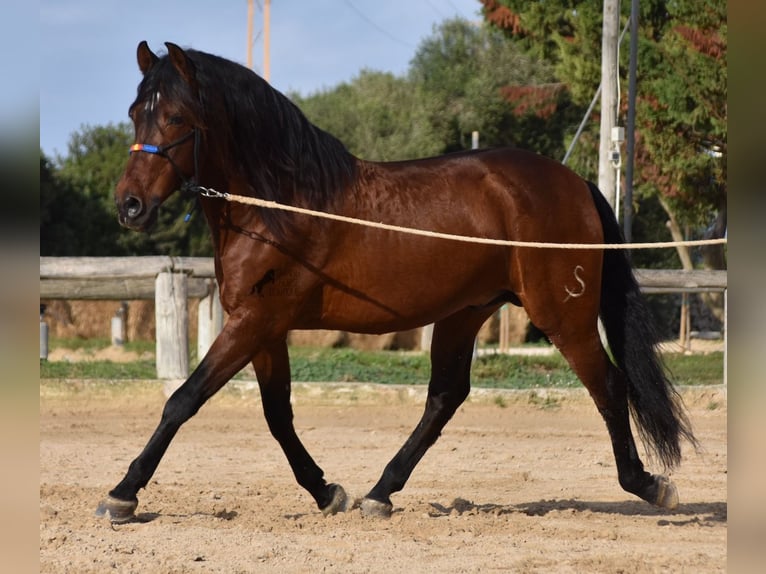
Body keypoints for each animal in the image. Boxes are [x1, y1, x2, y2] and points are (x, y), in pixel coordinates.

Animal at [94, 41, 696, 528]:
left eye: (176, 117)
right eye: (134, 113)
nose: (129, 206)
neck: (279, 205)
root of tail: (574, 182)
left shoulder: (255, 322)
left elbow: (183, 400)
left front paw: (122, 495)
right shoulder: (263, 327)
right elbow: (277, 415)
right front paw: (327, 492)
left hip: (562, 316)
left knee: (609, 386)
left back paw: (649, 485)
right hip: (465, 313)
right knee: (445, 398)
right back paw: (380, 492)